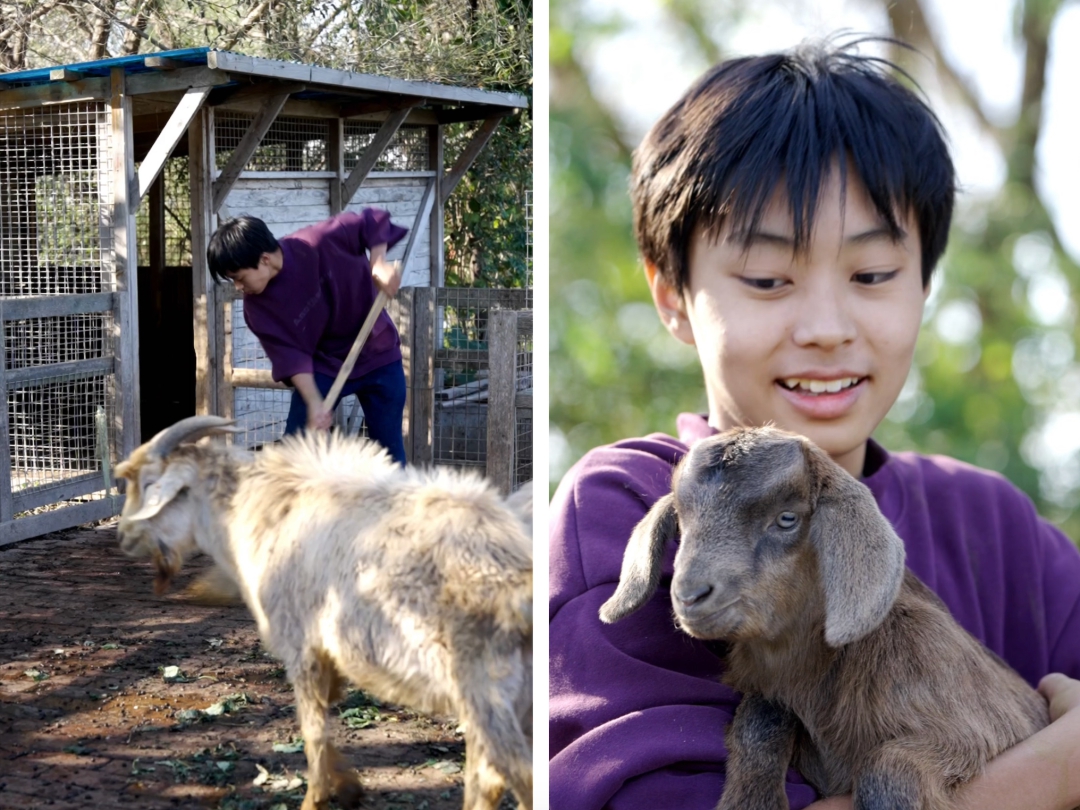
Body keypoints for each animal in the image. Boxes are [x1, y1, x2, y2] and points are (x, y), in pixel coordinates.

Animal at [117, 414, 531, 807]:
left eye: (150, 483)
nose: (124, 537)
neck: (263, 511)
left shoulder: (300, 646)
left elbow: (312, 729)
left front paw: (315, 798)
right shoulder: (330, 655)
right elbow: (327, 714)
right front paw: (348, 786)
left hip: (486, 688)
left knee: (516, 774)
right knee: (488, 778)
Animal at [600, 427, 1045, 807]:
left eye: (787, 519)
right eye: (681, 519)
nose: (690, 595)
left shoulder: (971, 722)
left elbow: (887, 771)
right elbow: (762, 716)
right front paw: (751, 800)